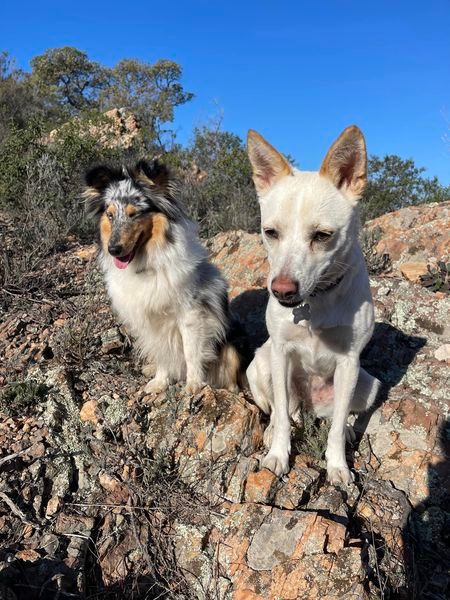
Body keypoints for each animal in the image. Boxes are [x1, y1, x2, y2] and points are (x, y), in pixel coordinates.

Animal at [246, 125, 380, 482]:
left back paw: (345, 430)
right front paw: (278, 455)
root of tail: (311, 405)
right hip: (259, 365)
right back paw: (275, 428)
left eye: (322, 235)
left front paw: (338, 466)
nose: (281, 291)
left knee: (338, 416)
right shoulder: (280, 353)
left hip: (368, 384)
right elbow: (281, 414)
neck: (316, 301)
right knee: (284, 410)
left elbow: (335, 427)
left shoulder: (349, 362)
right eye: (270, 232)